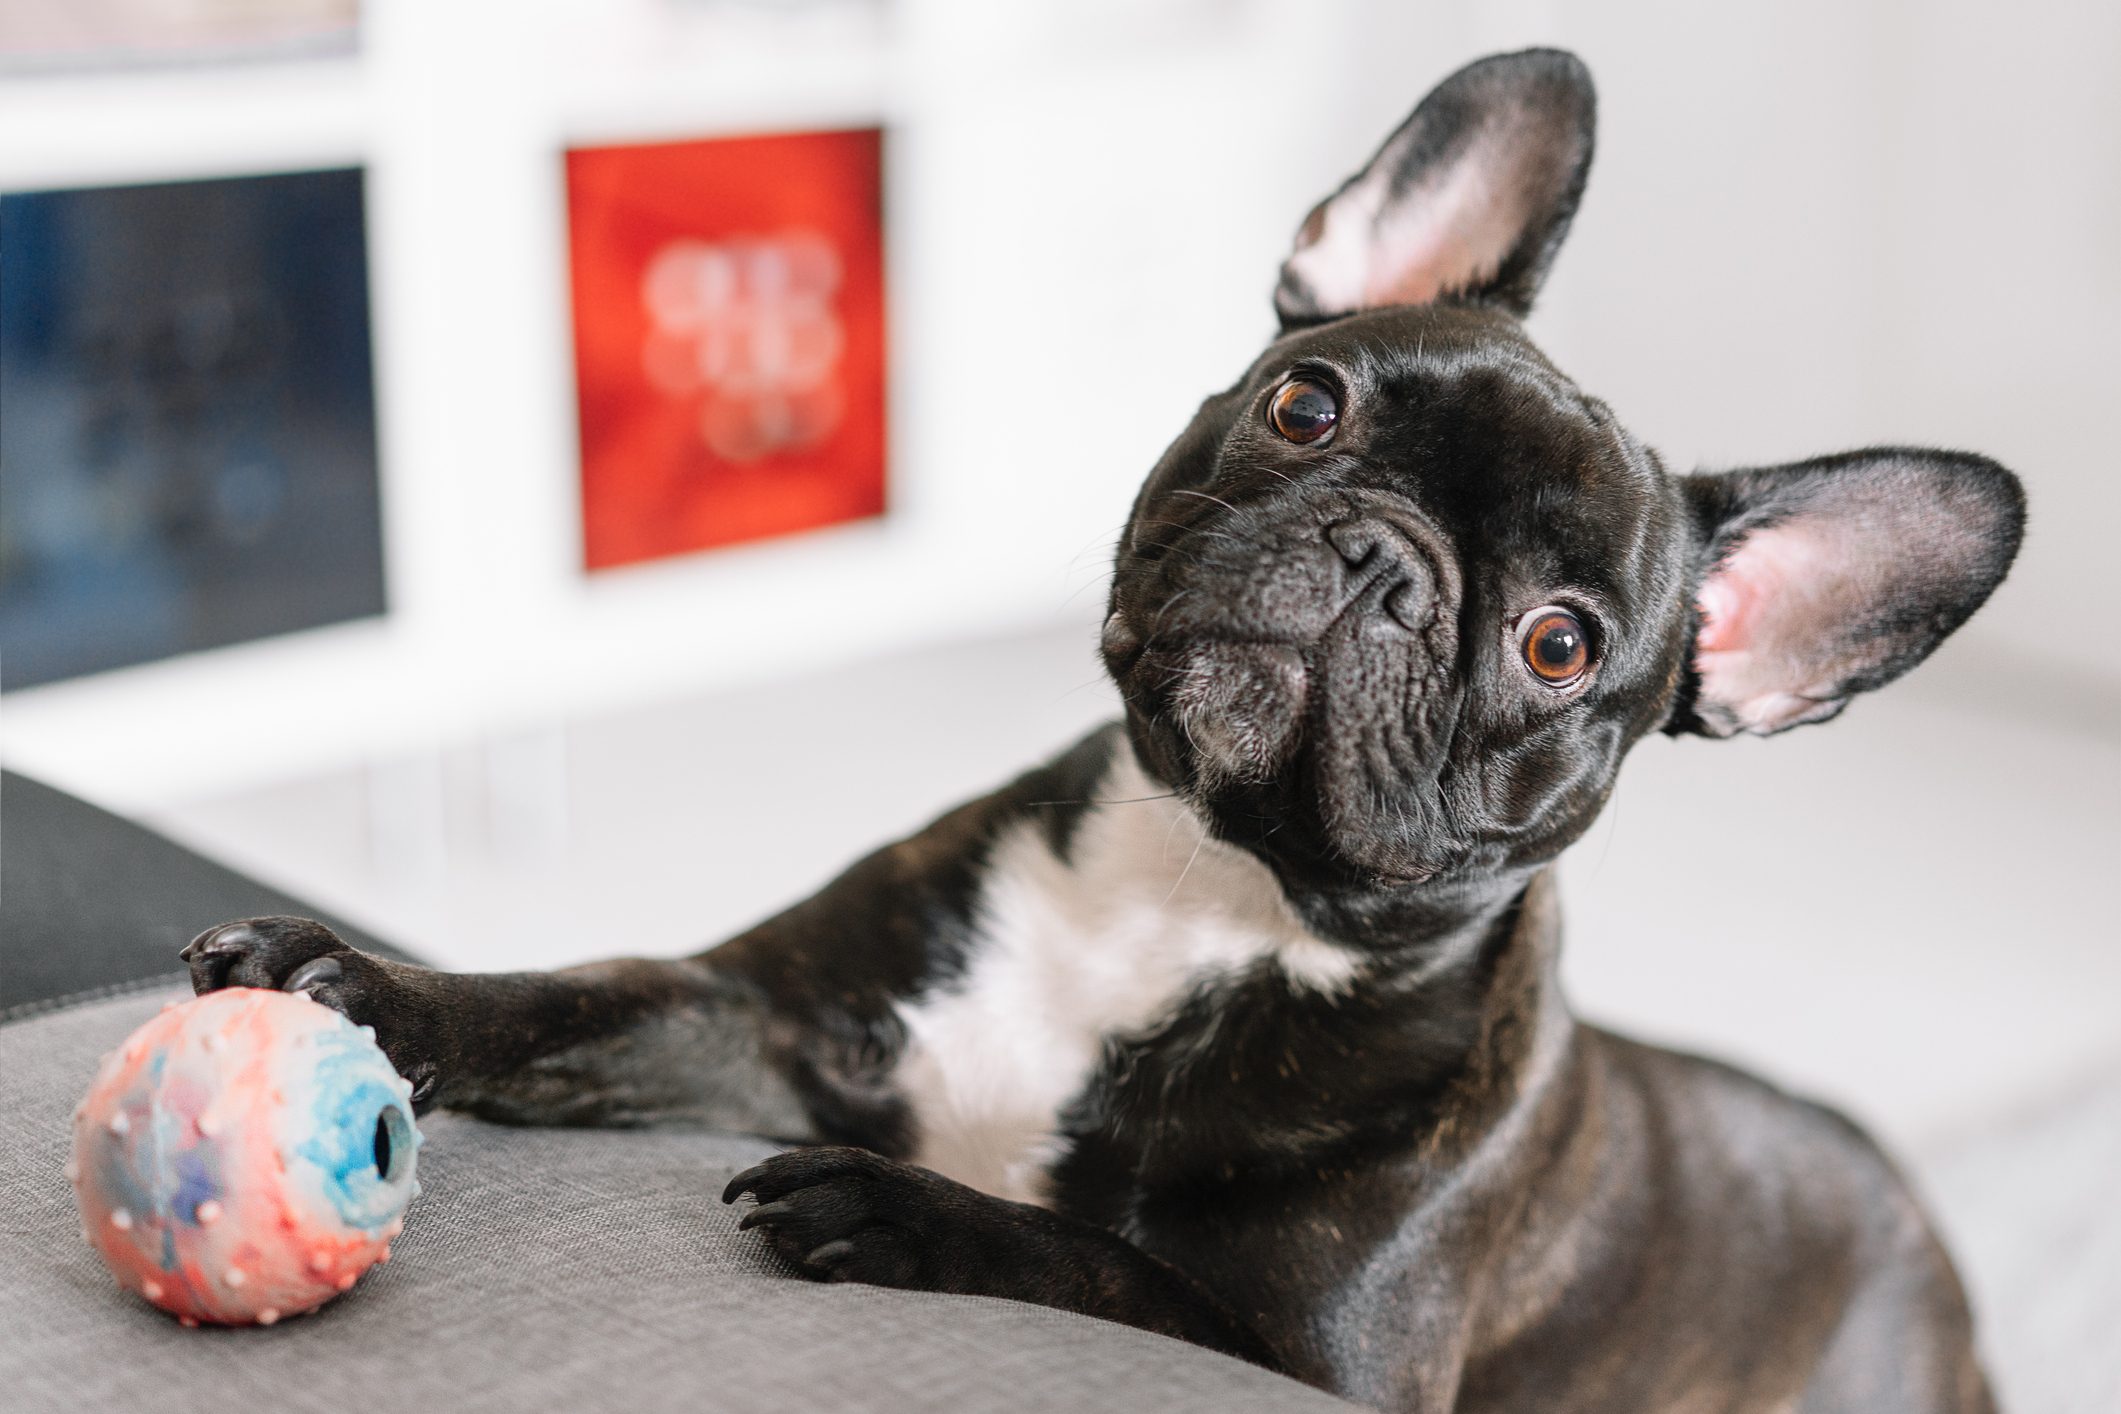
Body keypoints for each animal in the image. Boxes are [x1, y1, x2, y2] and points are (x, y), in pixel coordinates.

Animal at [182, 49, 2019, 1414]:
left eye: (1557, 644)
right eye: (1307, 404)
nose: (1384, 563)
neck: (1196, 886)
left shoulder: (1316, 1367)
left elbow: (1100, 1266)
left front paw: (906, 1208)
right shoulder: (760, 1026)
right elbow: (576, 989)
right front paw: (362, 980)